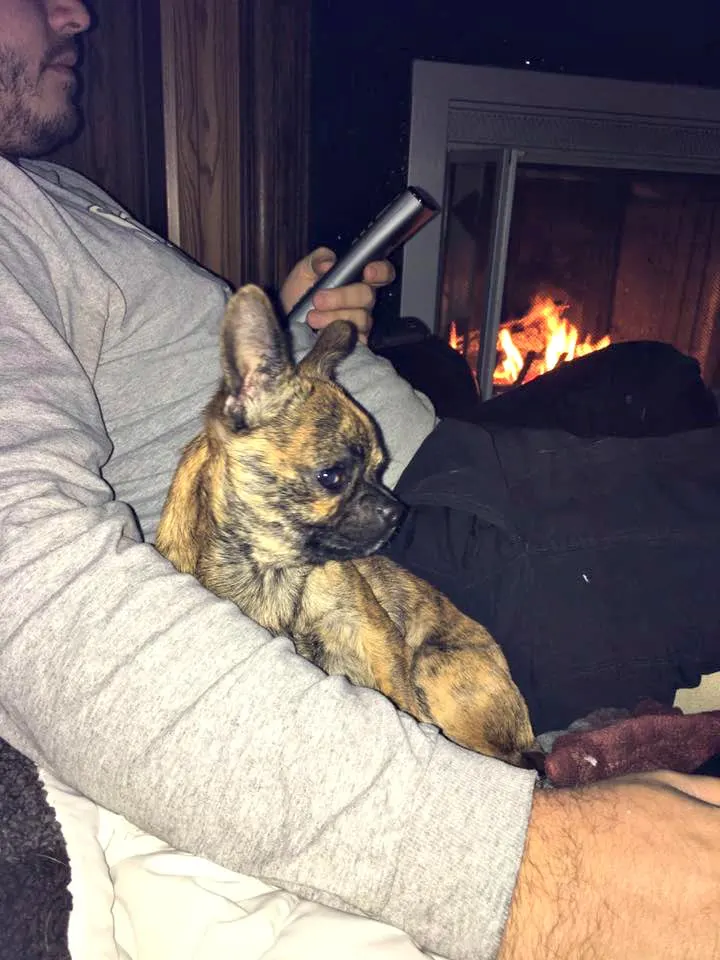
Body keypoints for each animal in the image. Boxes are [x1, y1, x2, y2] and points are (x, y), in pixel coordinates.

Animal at [155, 284, 532, 764]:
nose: (396, 511)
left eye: (380, 467)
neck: (273, 574)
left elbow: (404, 701)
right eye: (331, 477)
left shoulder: (377, 637)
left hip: (433, 665)